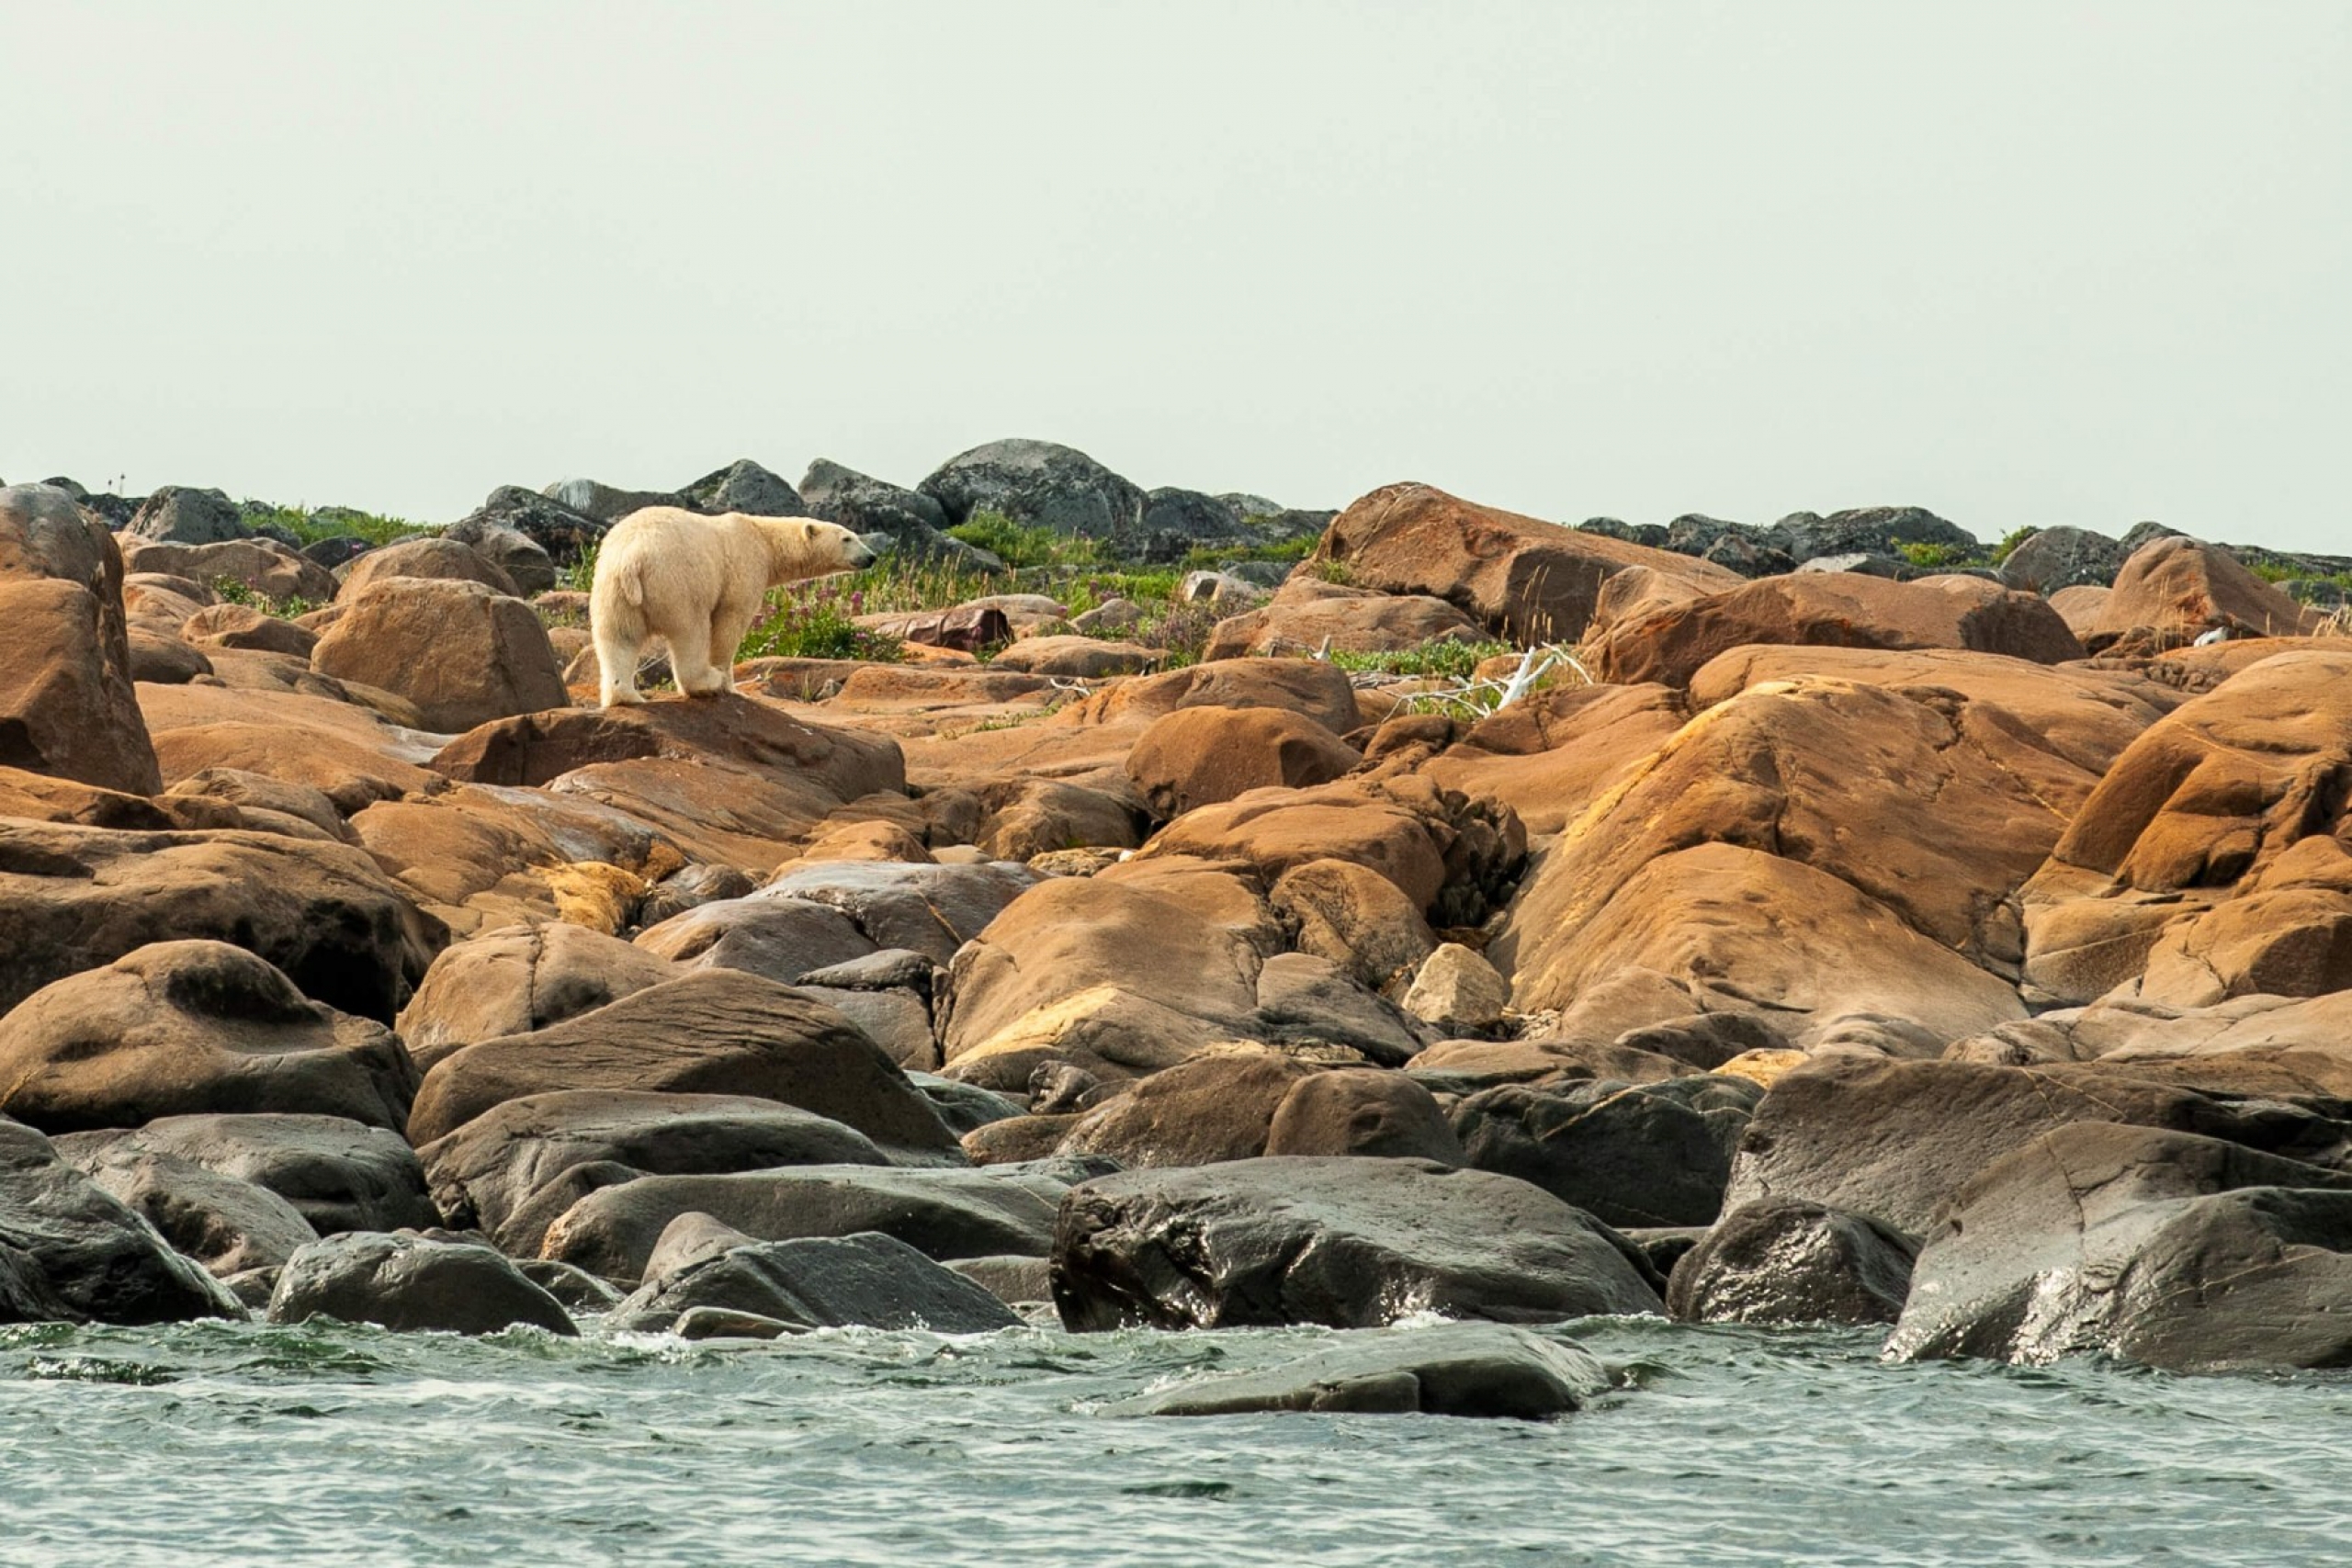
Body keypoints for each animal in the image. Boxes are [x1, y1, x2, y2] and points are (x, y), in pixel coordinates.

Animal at [589, 507, 877, 707]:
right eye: (847, 538)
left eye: (854, 536)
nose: (871, 557)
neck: (763, 537)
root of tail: (632, 558)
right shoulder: (744, 568)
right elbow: (730, 621)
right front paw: (730, 684)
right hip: (678, 580)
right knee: (691, 631)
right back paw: (707, 682)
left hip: (612, 590)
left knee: (618, 638)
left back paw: (625, 696)